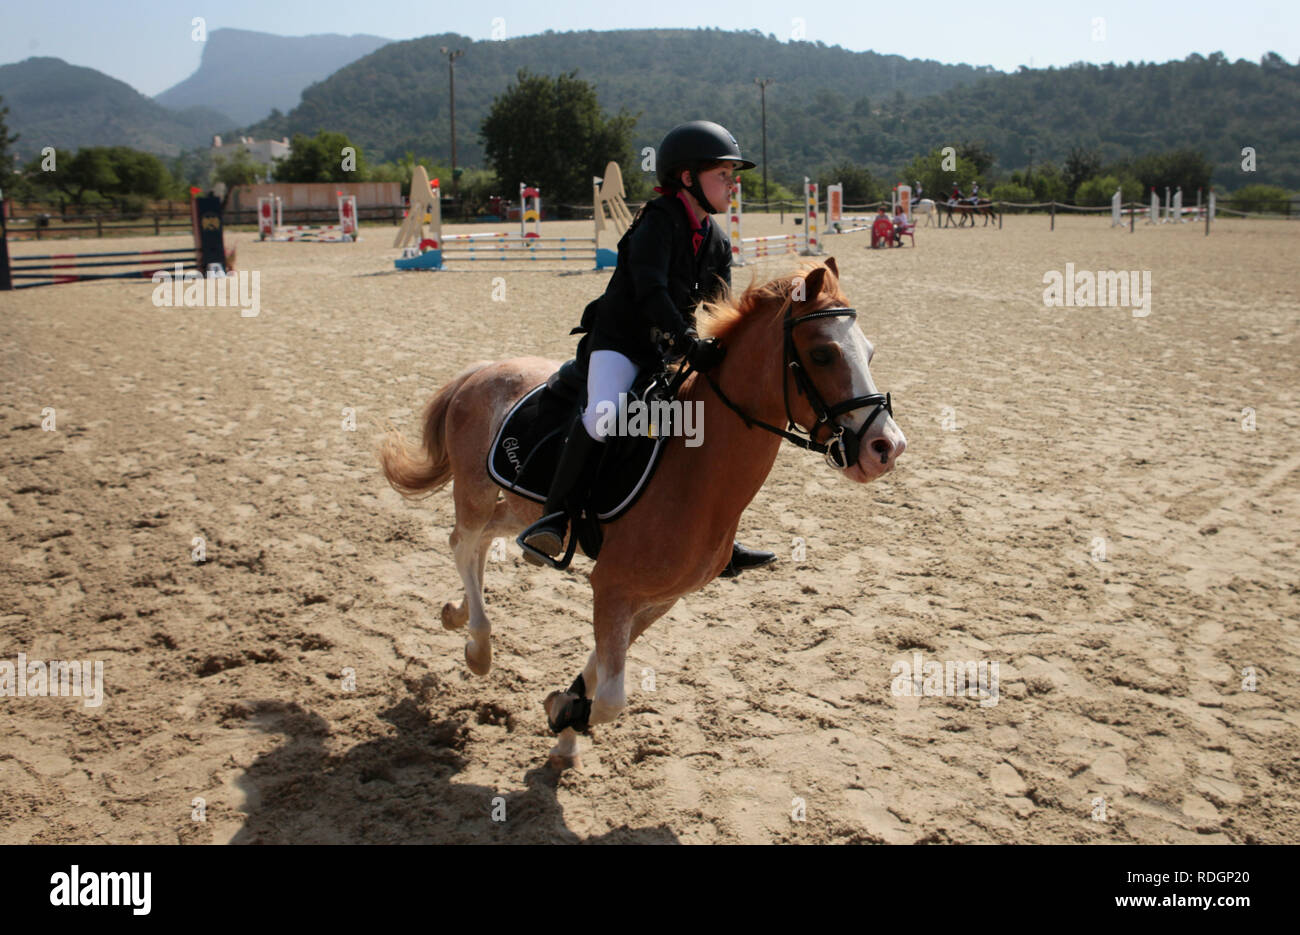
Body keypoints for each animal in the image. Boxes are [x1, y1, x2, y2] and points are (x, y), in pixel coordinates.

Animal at [377, 257, 904, 769]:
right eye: (822, 354)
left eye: (869, 353)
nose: (886, 448)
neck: (694, 470)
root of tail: (482, 370)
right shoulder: (611, 588)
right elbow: (612, 698)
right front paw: (566, 714)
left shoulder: (658, 597)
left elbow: (600, 668)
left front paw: (564, 719)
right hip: (476, 489)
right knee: (463, 542)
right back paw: (478, 646)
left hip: (522, 506)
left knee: (485, 539)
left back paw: (459, 613)